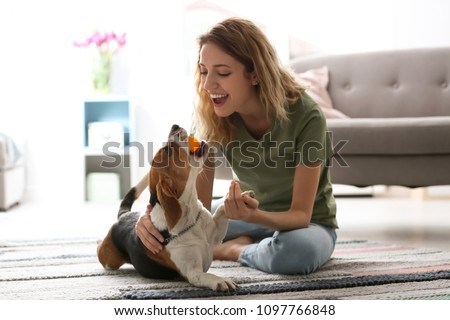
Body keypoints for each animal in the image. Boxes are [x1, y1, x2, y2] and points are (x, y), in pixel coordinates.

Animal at [97, 124, 251, 292]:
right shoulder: (193, 272)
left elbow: (222, 208)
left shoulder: (216, 234)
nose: (174, 126)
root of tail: (124, 215)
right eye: (167, 151)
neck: (190, 218)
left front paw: (239, 198)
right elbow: (206, 276)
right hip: (109, 260)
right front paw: (220, 280)